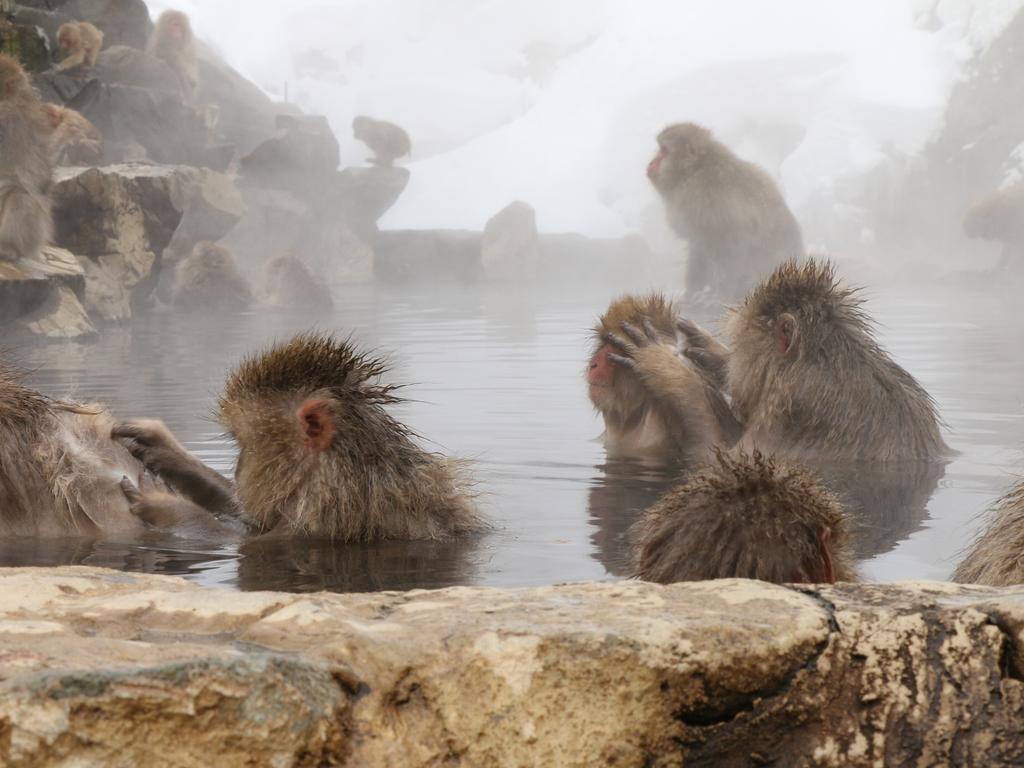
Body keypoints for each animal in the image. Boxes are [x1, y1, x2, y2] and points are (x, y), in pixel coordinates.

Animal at [117, 333, 485, 544]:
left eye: (245, 446)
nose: (238, 469)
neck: (337, 472)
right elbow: (245, 513)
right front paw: (165, 450)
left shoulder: (325, 516)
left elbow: (245, 543)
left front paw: (165, 506)